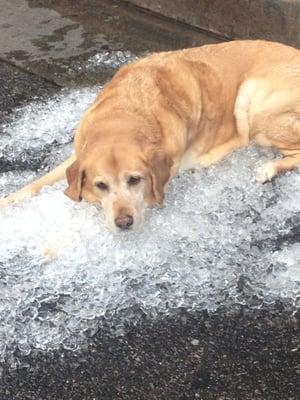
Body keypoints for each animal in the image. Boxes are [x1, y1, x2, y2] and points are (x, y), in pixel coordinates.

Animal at [0, 39, 300, 233]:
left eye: (135, 180)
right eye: (101, 184)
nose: (124, 223)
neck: (125, 113)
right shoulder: (77, 154)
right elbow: (37, 183)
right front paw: (8, 201)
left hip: (253, 99)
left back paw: (268, 167)